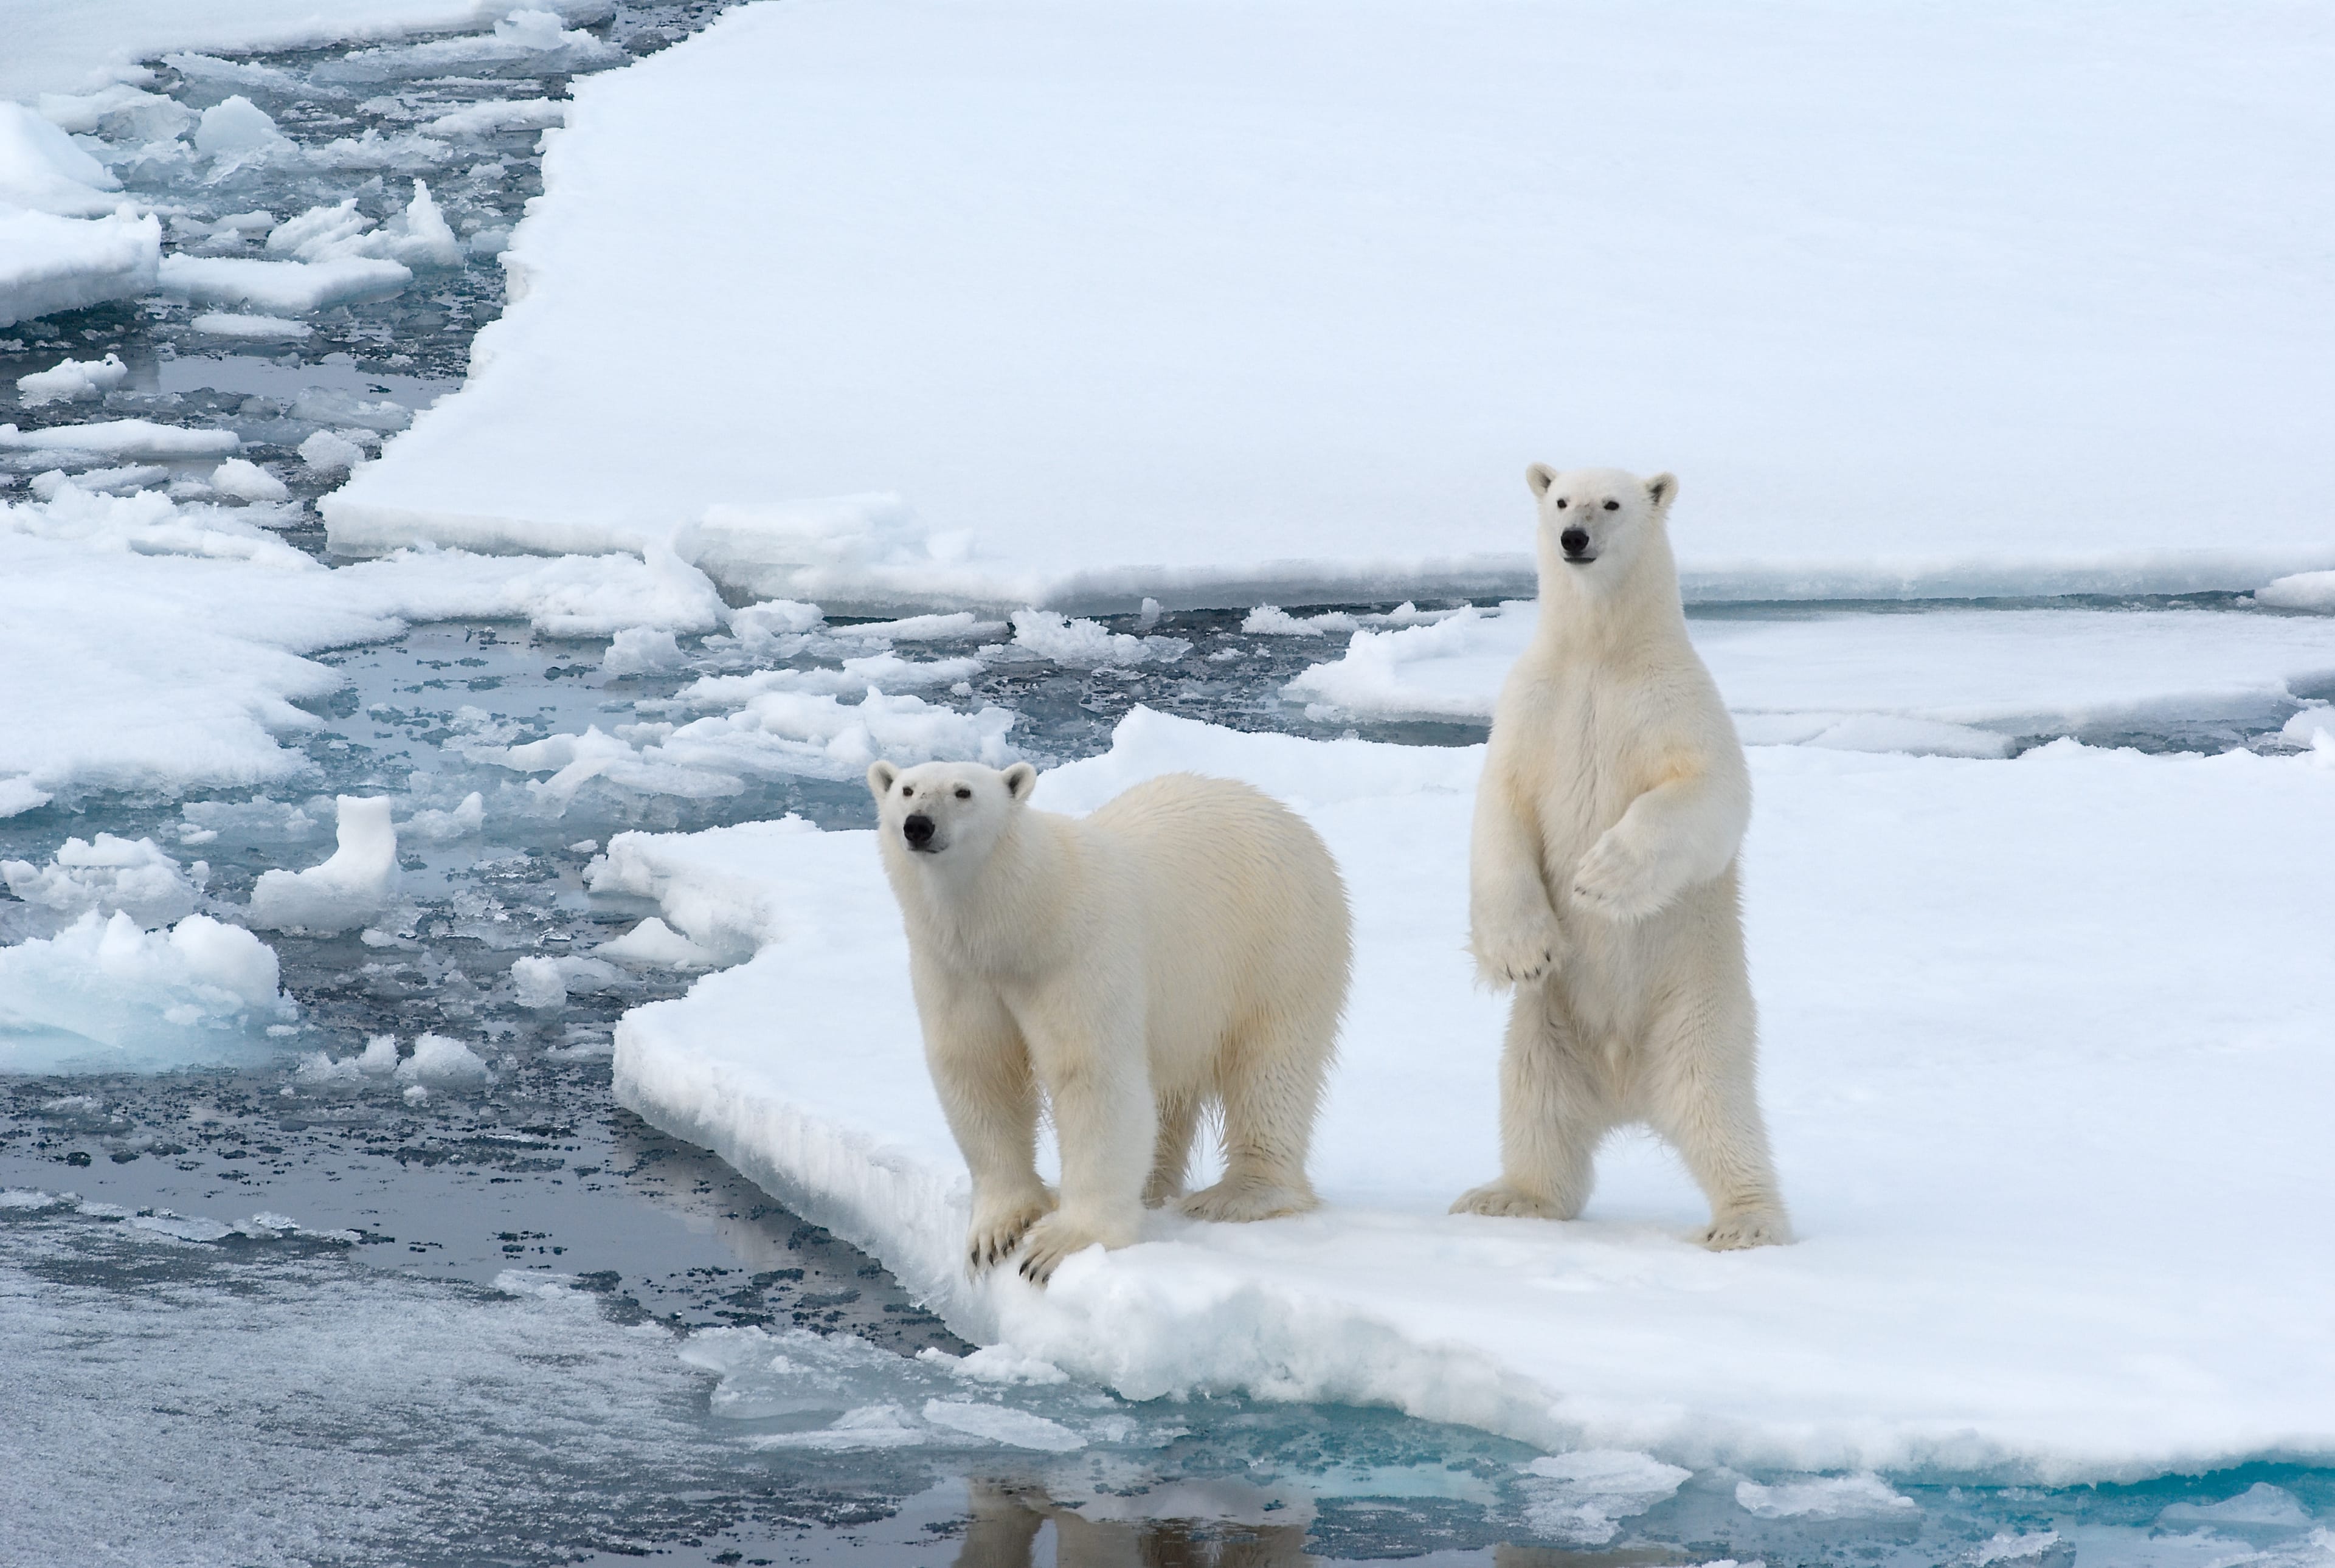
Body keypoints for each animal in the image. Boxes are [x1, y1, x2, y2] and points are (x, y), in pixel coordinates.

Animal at [867, 759, 1352, 1284]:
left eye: (963, 792)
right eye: (907, 788)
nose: (918, 825)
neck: (1023, 919)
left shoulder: (1077, 956)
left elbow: (1091, 1076)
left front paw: (1059, 1244)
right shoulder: (956, 971)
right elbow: (979, 1071)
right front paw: (998, 1232)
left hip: (1278, 944)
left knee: (1271, 1067)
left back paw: (1239, 1194)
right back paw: (1153, 1188)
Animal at [1451, 464, 1790, 1250]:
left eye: (1612, 502)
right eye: (1559, 499)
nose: (1574, 538)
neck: (1601, 656)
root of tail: (1625, 1087)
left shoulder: (1675, 702)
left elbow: (1711, 791)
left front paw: (1602, 877)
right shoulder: (1531, 705)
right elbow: (1500, 811)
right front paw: (1523, 952)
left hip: (1696, 1015)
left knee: (1721, 1113)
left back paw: (1746, 1221)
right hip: (1545, 1033)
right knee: (1534, 1108)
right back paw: (1508, 1196)